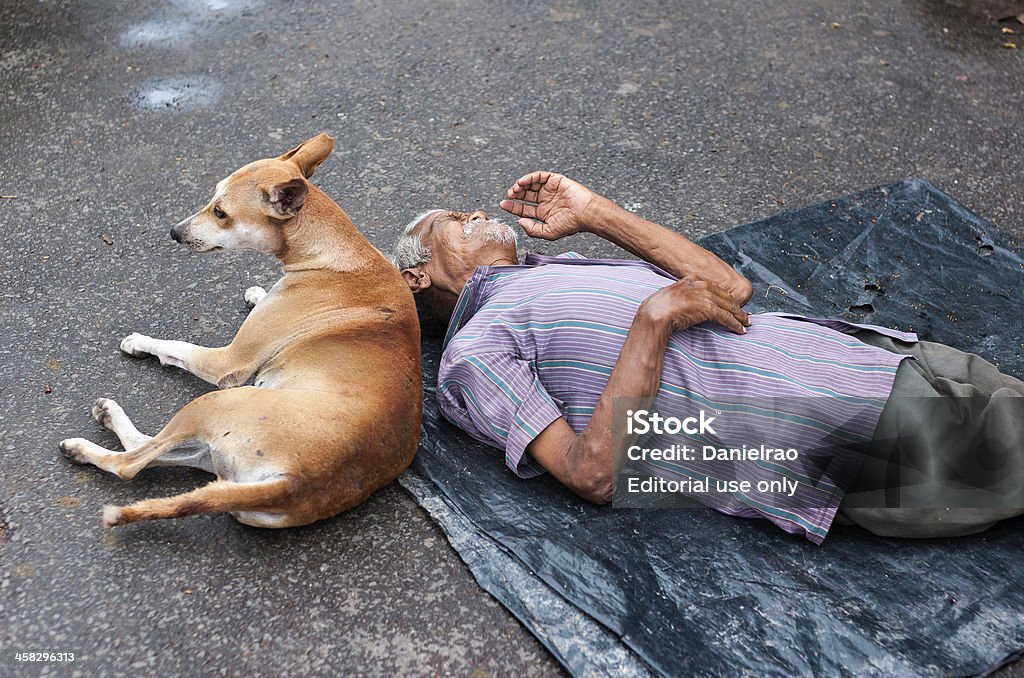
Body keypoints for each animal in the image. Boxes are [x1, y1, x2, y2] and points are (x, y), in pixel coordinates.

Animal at [58, 134, 419, 532]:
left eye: (220, 213)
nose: (174, 232)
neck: (331, 254)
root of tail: (292, 483)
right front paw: (258, 292)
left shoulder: (228, 363)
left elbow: (177, 346)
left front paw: (140, 342)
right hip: (211, 456)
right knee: (149, 451)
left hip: (214, 403)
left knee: (131, 464)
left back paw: (89, 442)